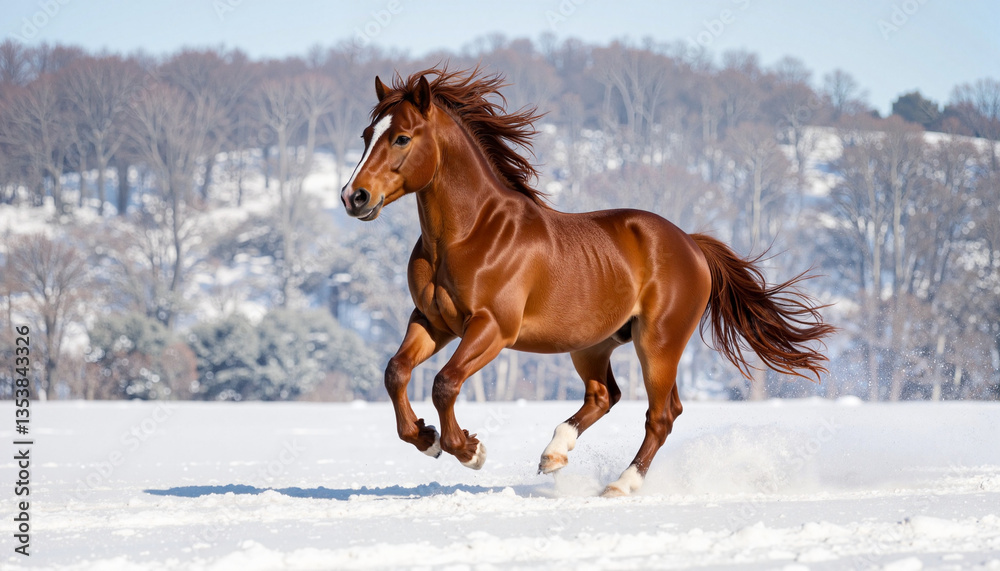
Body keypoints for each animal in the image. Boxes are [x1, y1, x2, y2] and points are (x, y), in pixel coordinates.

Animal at [340, 67, 835, 497]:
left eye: (402, 137)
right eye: (366, 135)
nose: (353, 197)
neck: (470, 234)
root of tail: (692, 245)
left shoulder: (492, 328)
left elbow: (444, 382)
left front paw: (469, 450)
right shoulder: (433, 321)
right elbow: (395, 372)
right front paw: (426, 438)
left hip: (658, 342)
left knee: (661, 414)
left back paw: (620, 484)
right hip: (592, 344)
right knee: (605, 395)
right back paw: (554, 454)